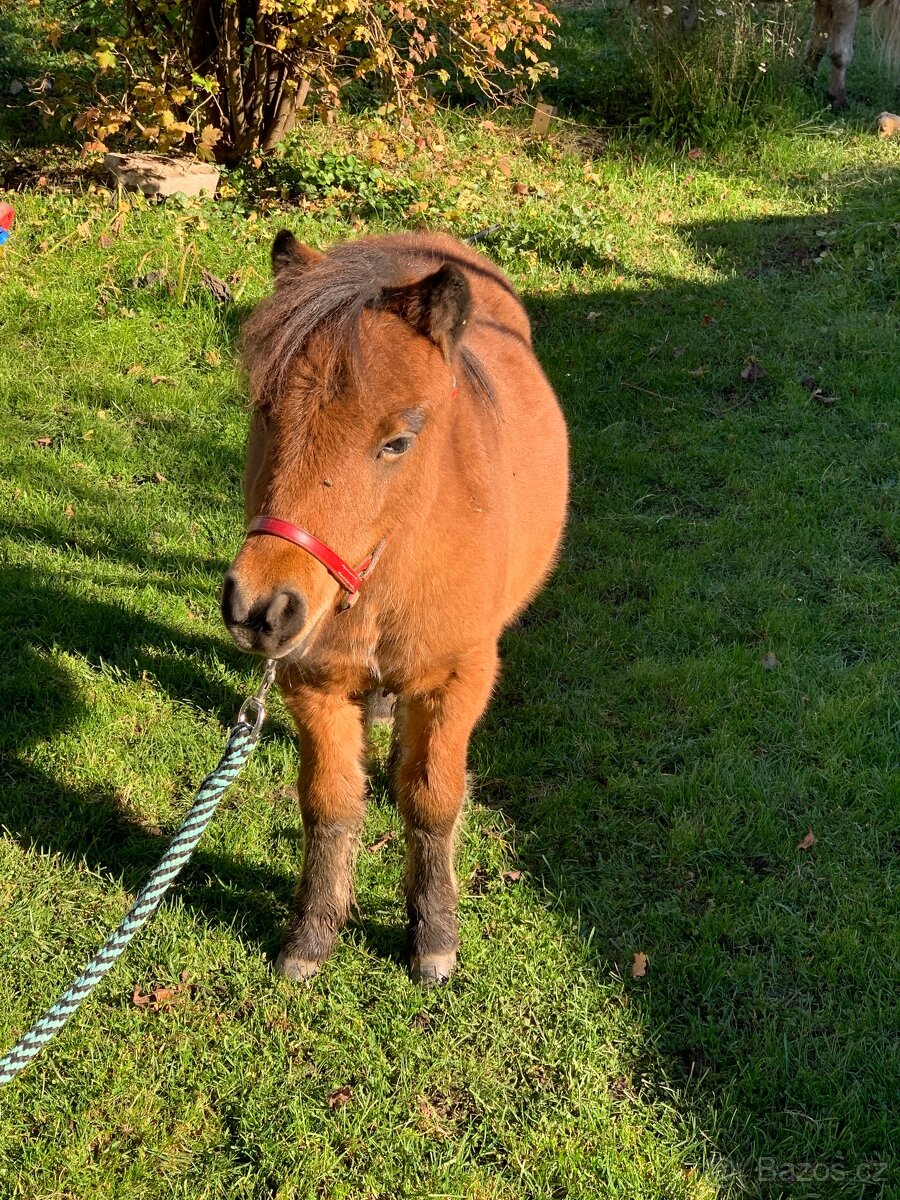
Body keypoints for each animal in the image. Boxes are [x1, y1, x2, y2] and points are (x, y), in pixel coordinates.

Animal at [221, 230, 570, 984]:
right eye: (265, 412)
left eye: (398, 442)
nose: (260, 608)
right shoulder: (313, 683)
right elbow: (328, 802)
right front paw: (312, 935)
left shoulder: (458, 682)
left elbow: (432, 800)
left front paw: (434, 935)